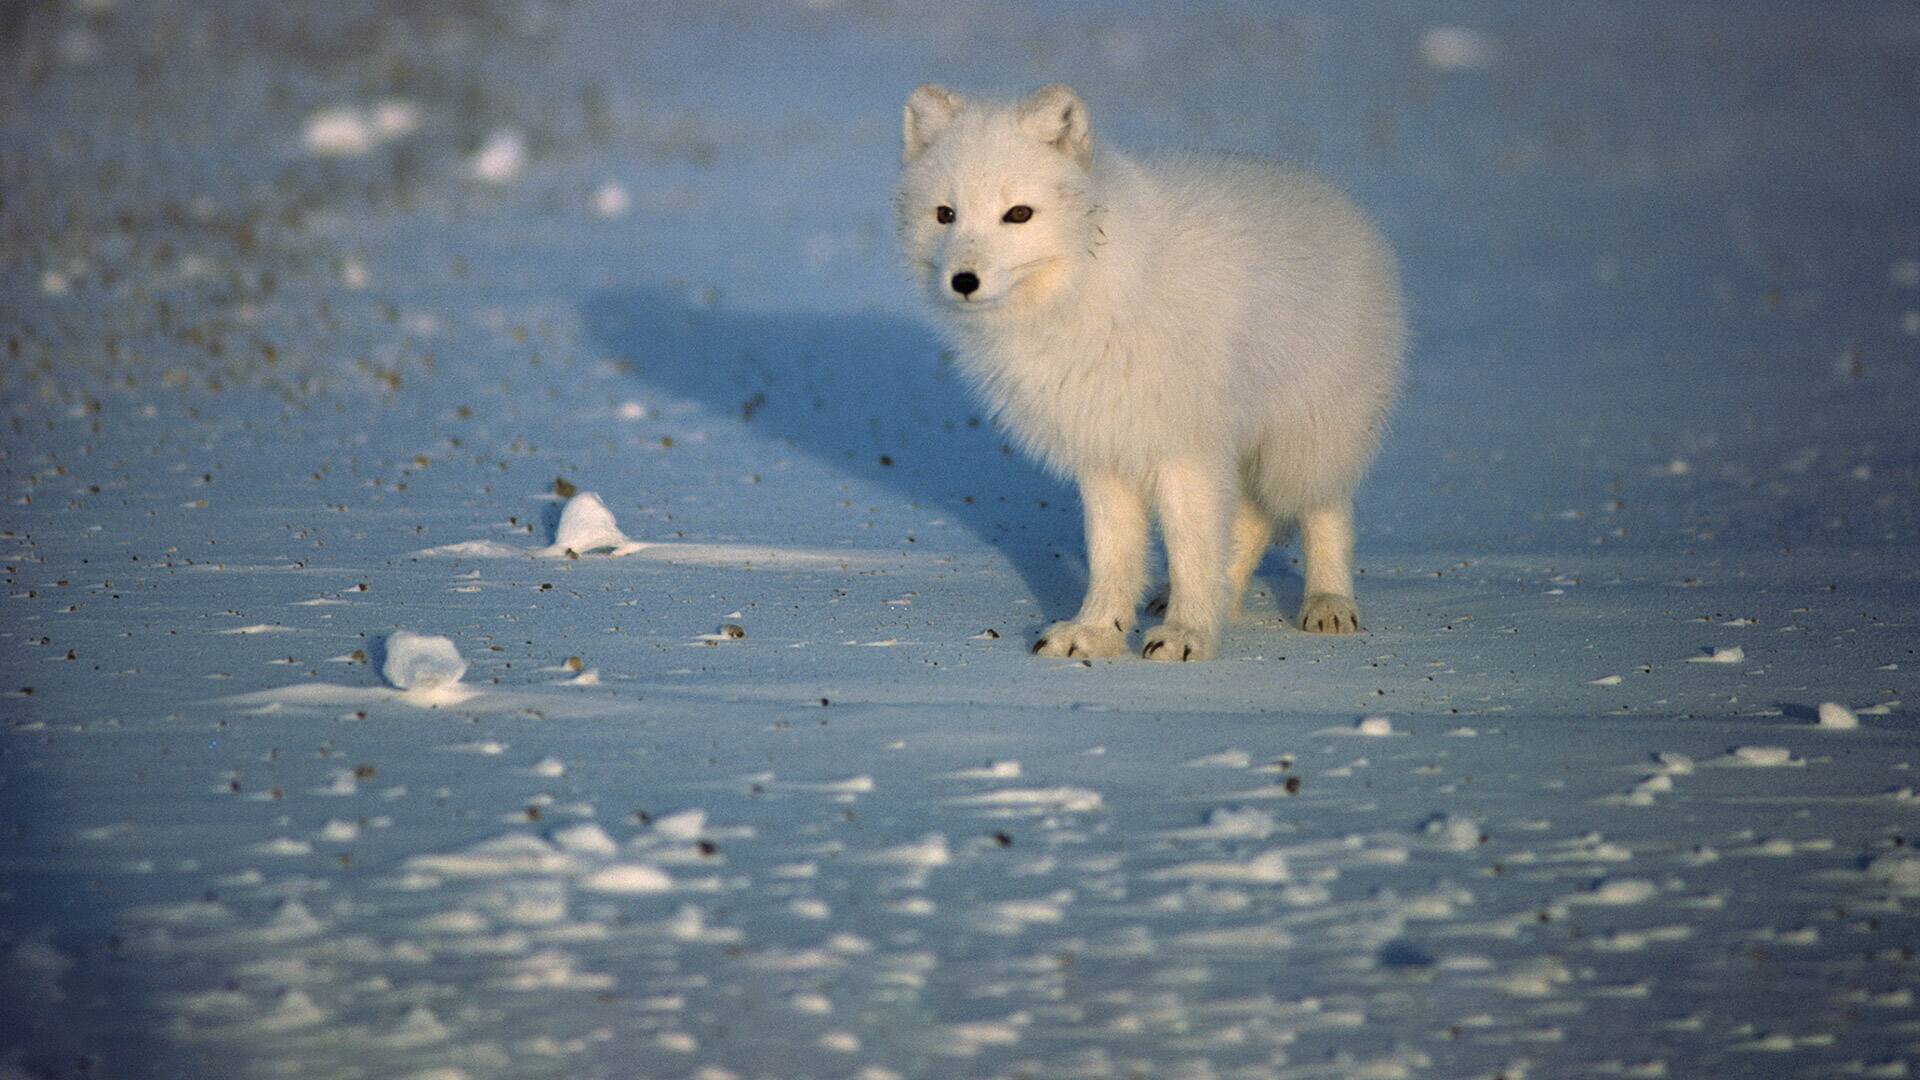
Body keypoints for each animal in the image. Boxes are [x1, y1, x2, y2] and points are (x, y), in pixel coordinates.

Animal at [898, 84, 1413, 657]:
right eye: (945, 214)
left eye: (1018, 214)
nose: (963, 280)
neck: (1090, 288)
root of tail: (1338, 197)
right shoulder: (1105, 446)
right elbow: (1112, 554)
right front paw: (1095, 632)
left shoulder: (1184, 446)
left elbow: (1190, 548)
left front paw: (1188, 635)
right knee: (1253, 519)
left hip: (1308, 434)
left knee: (1325, 505)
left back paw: (1328, 602)